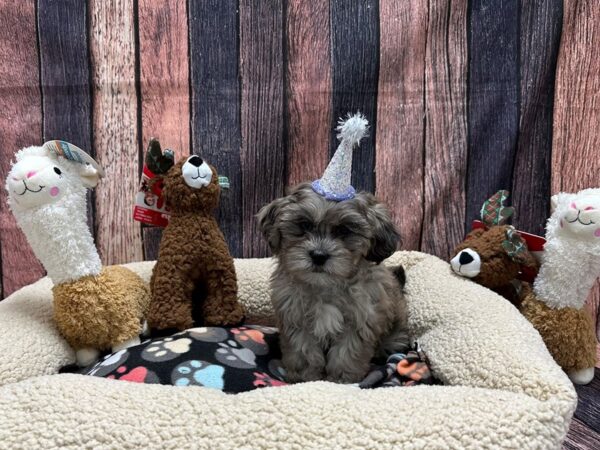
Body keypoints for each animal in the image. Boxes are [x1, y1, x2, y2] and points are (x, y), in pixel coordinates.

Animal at [255, 183, 410, 384]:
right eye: (304, 225)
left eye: (344, 231)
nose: (319, 256)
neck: (325, 286)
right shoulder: (295, 316)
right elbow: (303, 348)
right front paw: (306, 377)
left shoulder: (360, 320)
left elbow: (347, 352)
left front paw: (341, 378)